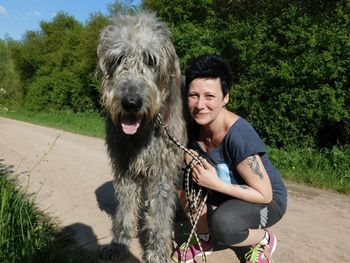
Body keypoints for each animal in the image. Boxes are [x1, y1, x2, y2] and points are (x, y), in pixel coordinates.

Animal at [97, 11, 187, 262]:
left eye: (151, 60)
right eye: (119, 58)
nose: (131, 103)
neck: (143, 131)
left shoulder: (163, 170)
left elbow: (160, 217)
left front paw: (157, 253)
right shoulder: (125, 168)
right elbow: (125, 210)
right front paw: (119, 244)